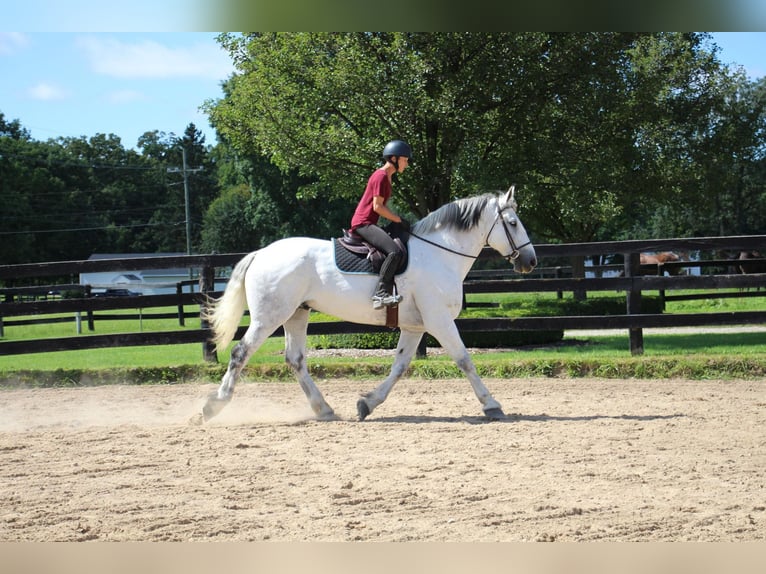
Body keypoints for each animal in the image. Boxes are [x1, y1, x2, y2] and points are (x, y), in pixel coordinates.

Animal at [204, 188, 540, 424]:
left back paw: (324, 409)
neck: (439, 254)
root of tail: (260, 254)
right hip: (270, 316)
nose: (530, 261)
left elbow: (400, 366)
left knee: (295, 359)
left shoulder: (415, 326)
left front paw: (367, 403)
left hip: (297, 313)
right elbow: (464, 360)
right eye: (512, 223)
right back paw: (214, 405)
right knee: (240, 353)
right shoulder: (439, 321)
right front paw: (492, 405)